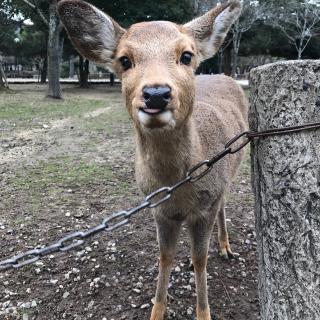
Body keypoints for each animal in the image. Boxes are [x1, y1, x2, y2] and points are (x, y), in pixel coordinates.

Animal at [57, 1, 248, 318]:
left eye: (186, 55)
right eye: (124, 60)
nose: (156, 93)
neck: (178, 188)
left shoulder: (205, 206)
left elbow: (201, 259)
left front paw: (204, 312)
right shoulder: (159, 210)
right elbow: (164, 257)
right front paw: (157, 310)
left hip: (232, 168)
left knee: (223, 203)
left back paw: (225, 247)